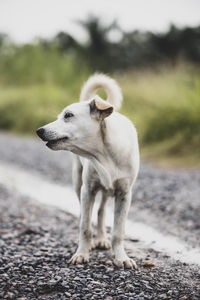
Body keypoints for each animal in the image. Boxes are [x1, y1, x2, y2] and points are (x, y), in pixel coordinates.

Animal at [36, 74, 139, 268]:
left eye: (68, 115)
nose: (39, 130)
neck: (104, 154)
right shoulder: (88, 190)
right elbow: (85, 227)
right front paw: (82, 254)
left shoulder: (124, 194)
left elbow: (118, 231)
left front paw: (121, 257)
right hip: (78, 182)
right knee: (86, 214)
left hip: (106, 190)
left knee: (101, 212)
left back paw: (102, 239)